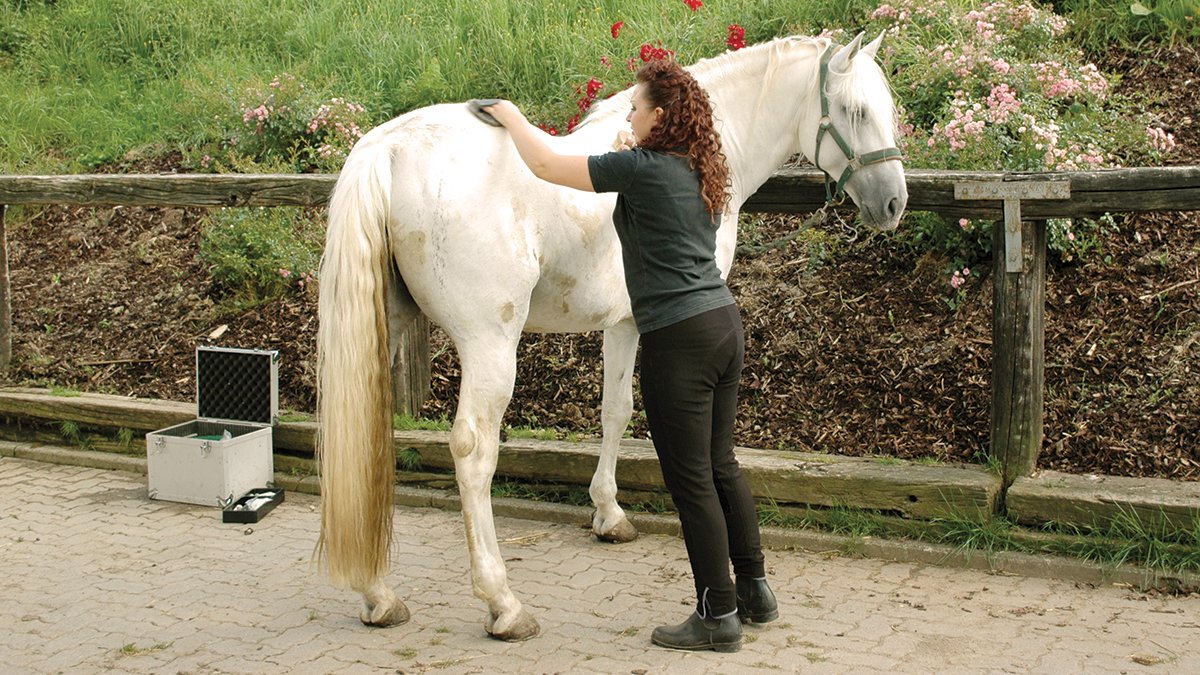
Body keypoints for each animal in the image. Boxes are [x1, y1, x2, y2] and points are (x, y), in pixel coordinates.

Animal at [316, 32, 907, 641]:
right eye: (854, 111)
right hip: (489, 345)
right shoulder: (639, 325)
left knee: (367, 432)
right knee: (474, 451)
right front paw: (611, 512)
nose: (894, 202)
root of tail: (388, 147)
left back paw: (379, 594)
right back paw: (503, 603)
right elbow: (627, 412)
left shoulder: (619, 324)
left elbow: (612, 411)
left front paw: (607, 514)